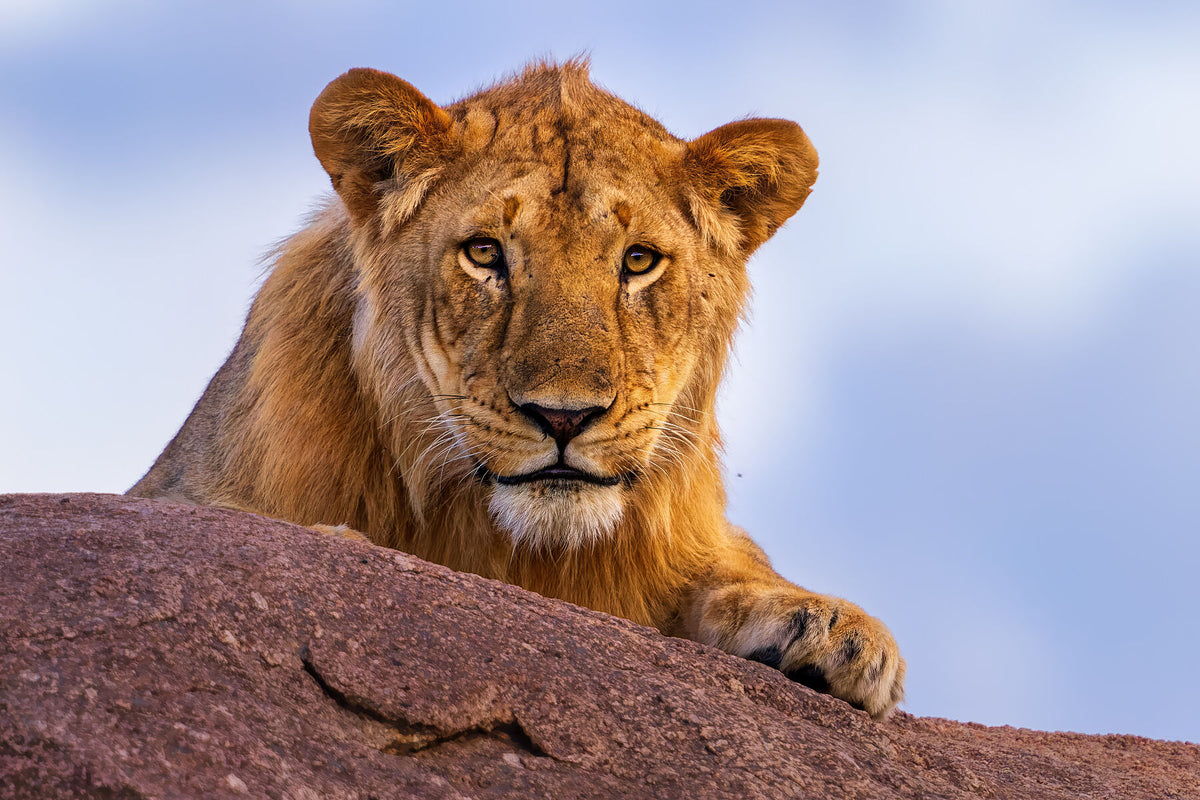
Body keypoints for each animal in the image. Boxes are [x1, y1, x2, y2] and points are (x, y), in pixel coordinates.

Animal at [130, 60, 905, 718]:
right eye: (484, 253)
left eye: (638, 261)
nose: (563, 418)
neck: (517, 549)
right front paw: (342, 546)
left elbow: (734, 567)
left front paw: (830, 631)